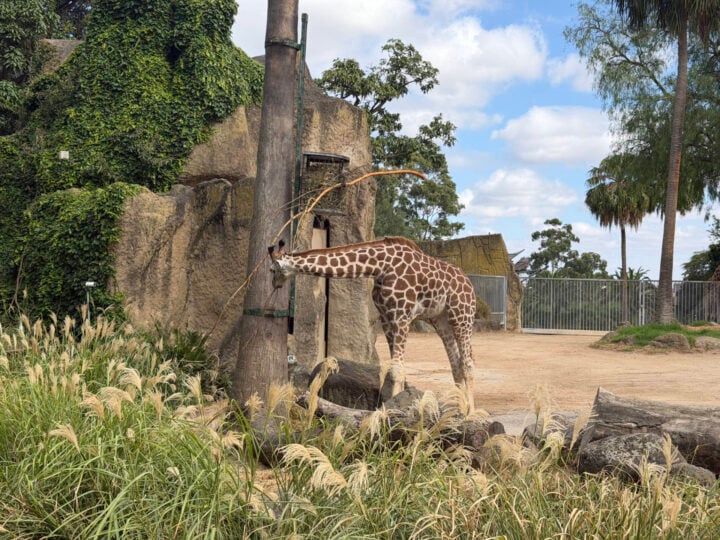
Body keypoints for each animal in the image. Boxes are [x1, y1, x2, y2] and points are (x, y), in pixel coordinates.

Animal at [268, 236, 477, 410]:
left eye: (271, 269)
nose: (274, 285)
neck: (380, 266)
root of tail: (469, 284)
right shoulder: (386, 318)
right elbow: (393, 370)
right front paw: (391, 408)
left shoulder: (401, 316)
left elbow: (397, 371)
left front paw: (392, 412)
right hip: (441, 320)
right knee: (456, 364)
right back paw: (460, 411)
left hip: (462, 315)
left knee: (468, 363)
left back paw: (470, 413)